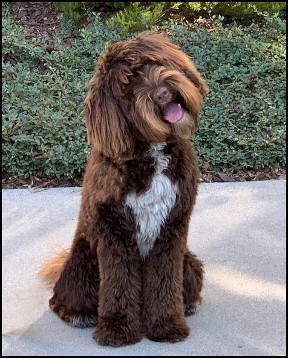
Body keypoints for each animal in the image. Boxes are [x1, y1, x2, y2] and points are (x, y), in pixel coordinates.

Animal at [39, 31, 208, 346]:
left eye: (151, 64)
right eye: (128, 87)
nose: (162, 94)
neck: (151, 151)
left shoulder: (173, 228)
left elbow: (165, 281)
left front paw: (167, 324)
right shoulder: (114, 231)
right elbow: (118, 283)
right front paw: (117, 329)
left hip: (188, 262)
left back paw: (188, 303)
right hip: (82, 263)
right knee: (61, 299)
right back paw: (77, 314)